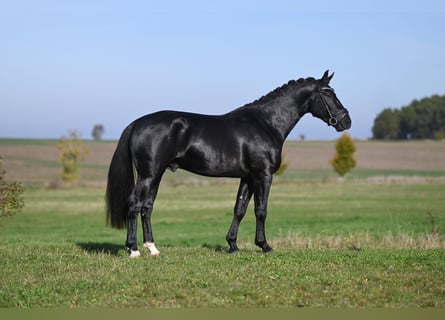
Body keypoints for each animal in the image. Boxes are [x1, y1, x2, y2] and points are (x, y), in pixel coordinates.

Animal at [105, 70, 350, 258]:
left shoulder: (248, 177)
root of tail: (137, 123)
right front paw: (265, 246)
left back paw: (153, 249)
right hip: (148, 175)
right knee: (134, 205)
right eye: (328, 94)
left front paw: (232, 245)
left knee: (147, 207)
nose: (346, 121)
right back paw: (134, 250)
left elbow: (239, 209)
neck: (266, 123)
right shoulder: (263, 174)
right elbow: (261, 210)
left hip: (156, 174)